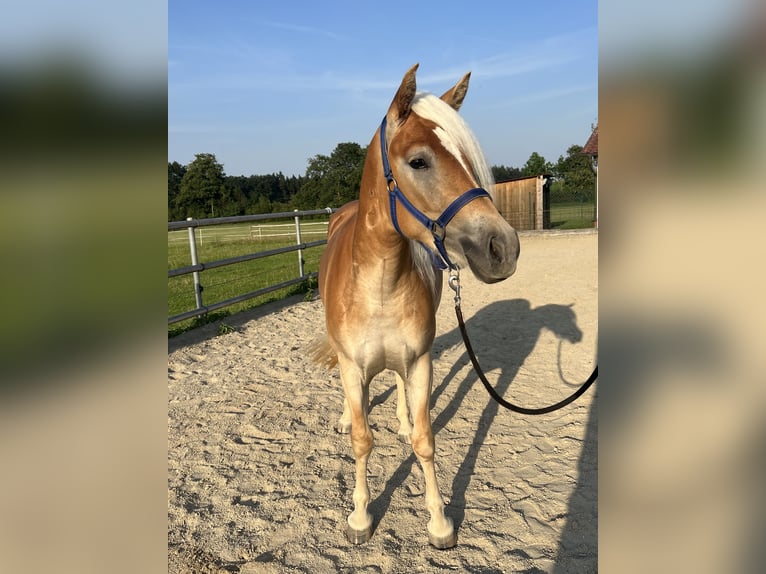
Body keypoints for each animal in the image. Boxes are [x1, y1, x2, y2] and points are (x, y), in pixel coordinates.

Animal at [314, 64, 520, 552]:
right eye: (419, 161)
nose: (503, 247)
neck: (379, 284)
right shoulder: (352, 365)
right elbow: (361, 440)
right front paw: (360, 517)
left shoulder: (421, 361)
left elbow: (425, 441)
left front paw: (440, 522)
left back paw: (403, 421)